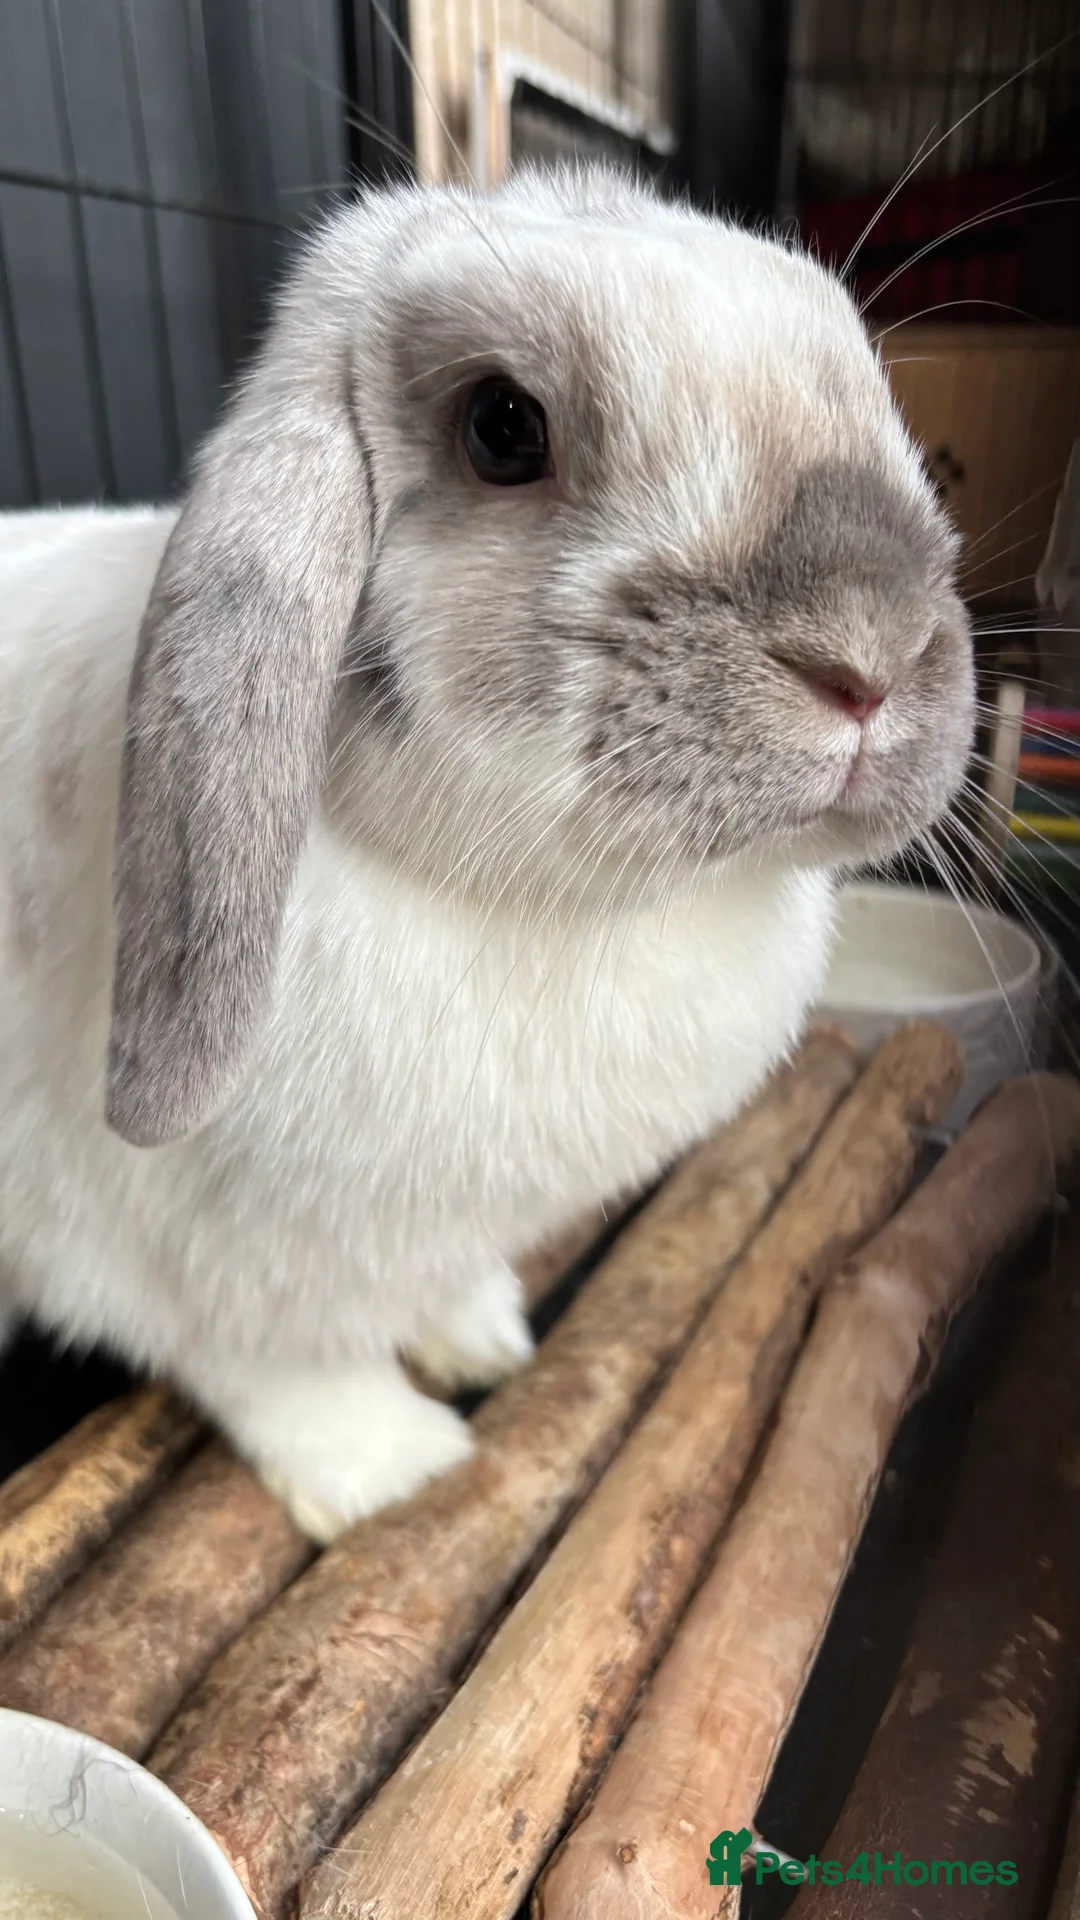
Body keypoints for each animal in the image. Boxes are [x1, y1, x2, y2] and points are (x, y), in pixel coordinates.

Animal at [0, 167, 974, 1542]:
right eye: (503, 428)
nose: (870, 656)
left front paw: (485, 1337)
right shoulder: (176, 1257)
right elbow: (275, 1368)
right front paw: (393, 1467)